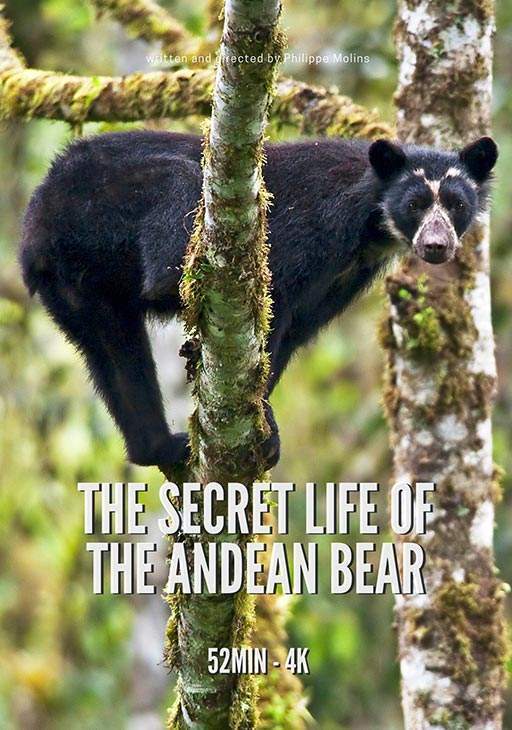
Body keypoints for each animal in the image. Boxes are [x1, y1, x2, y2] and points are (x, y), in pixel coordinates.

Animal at [19, 131, 498, 469]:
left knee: (115, 354)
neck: (369, 228)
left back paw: (159, 447)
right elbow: (272, 311)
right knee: (180, 194)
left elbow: (290, 335)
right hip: (113, 196)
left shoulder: (341, 279)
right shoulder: (310, 231)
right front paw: (265, 426)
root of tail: (39, 215)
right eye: (415, 204)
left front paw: (263, 427)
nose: (436, 245)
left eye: (456, 205)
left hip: (78, 288)